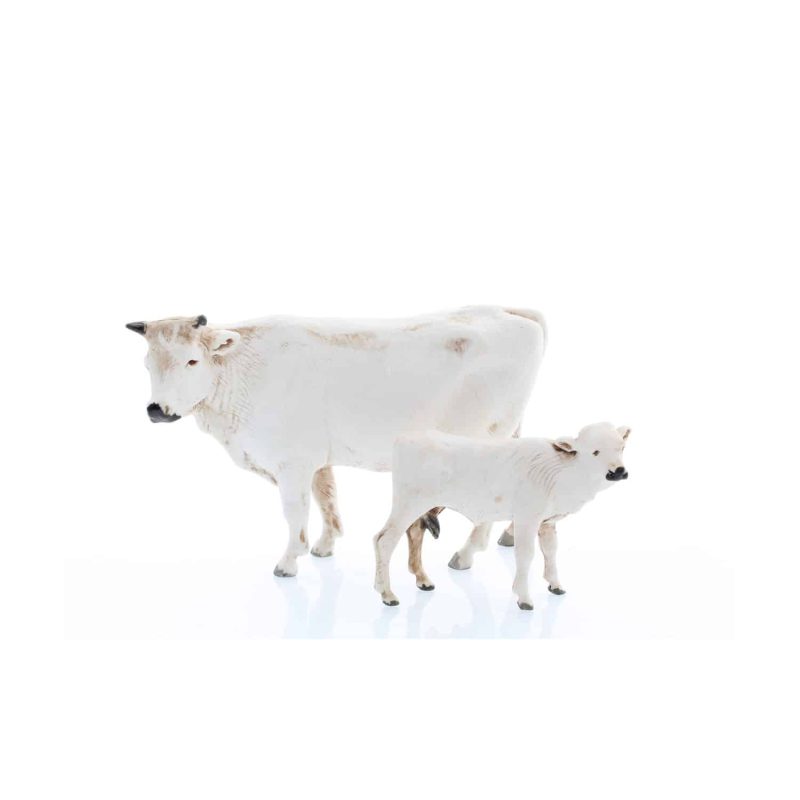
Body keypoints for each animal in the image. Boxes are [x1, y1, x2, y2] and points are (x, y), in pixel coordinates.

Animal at [126, 306, 547, 584]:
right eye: (147, 364)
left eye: (192, 361)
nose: (157, 410)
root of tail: (511, 312)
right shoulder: (315, 458)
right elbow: (327, 498)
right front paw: (325, 546)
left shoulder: (292, 462)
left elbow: (296, 513)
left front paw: (289, 561)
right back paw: (511, 535)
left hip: (487, 439)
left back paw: (466, 554)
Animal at [373, 422, 631, 609]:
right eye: (595, 451)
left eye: (621, 448)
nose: (618, 471)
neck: (561, 471)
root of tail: (407, 437)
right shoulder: (526, 519)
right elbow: (526, 555)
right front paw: (524, 598)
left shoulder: (547, 522)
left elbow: (551, 551)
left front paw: (555, 585)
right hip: (407, 505)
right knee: (384, 540)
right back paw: (387, 594)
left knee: (412, 533)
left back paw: (419, 581)